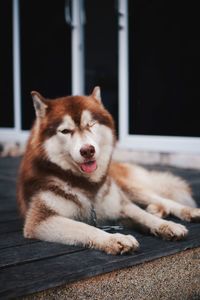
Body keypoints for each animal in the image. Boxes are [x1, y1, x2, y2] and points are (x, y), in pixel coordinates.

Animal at [17, 88, 200, 254]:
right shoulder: (41, 220)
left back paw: (186, 211)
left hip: (128, 188)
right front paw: (115, 239)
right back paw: (157, 209)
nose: (87, 150)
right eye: (65, 131)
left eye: (91, 124)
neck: (86, 184)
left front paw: (167, 225)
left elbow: (143, 215)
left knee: (162, 198)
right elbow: (84, 227)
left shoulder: (120, 204)